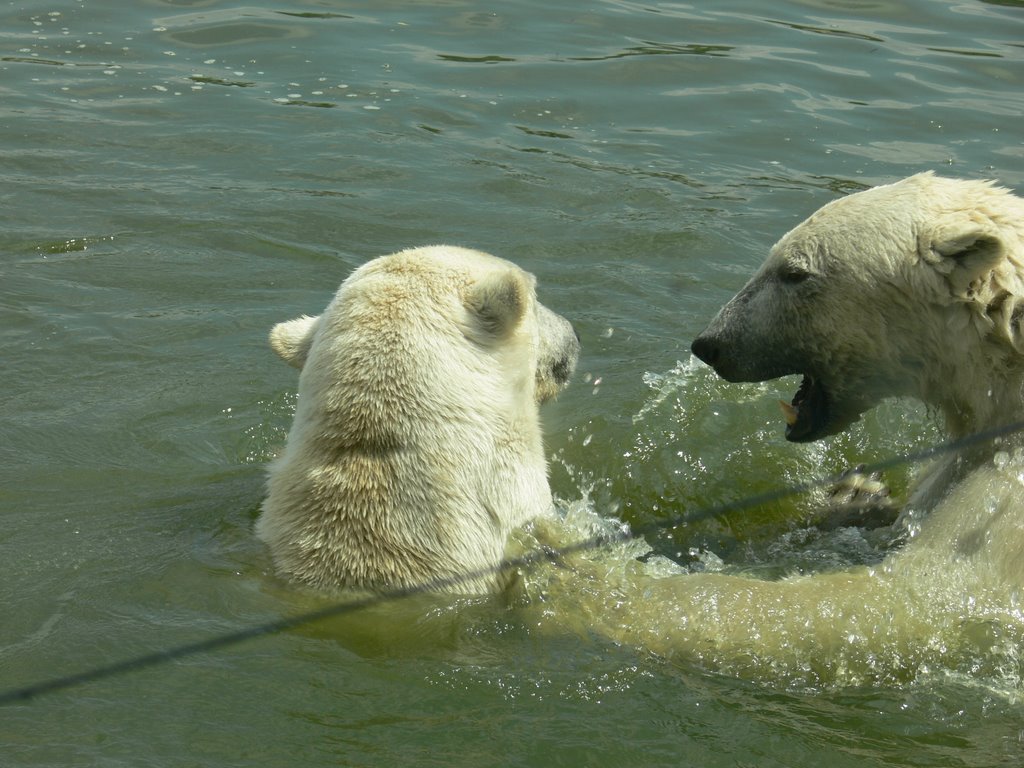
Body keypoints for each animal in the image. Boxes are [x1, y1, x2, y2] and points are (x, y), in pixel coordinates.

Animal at [565, 174, 1024, 684]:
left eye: (794, 273)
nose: (710, 343)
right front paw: (855, 496)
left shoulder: (1004, 504)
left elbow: (907, 602)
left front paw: (589, 579)